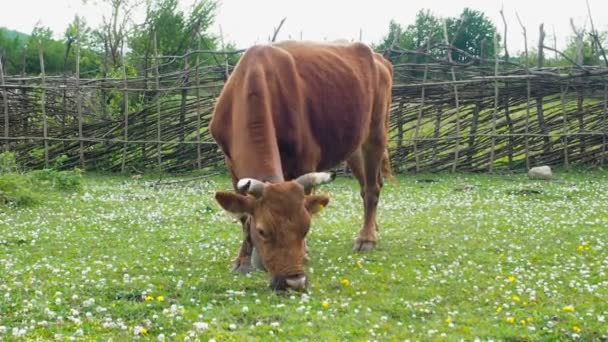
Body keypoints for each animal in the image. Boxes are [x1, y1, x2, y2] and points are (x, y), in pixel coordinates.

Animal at [210, 40, 394, 292]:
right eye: (262, 231)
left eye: (306, 228)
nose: (293, 281)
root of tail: (378, 58)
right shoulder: (231, 163)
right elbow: (243, 215)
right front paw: (243, 260)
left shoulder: (306, 160)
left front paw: (304, 252)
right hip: (354, 144)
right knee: (368, 184)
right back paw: (373, 228)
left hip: (376, 133)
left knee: (372, 189)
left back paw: (366, 238)